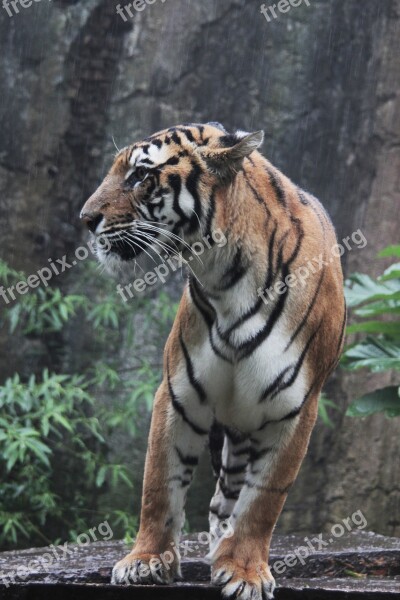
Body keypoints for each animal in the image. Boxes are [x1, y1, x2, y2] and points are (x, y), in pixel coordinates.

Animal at [80, 119, 344, 596]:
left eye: (140, 175)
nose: (86, 220)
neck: (225, 275)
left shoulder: (295, 409)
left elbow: (262, 502)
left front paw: (244, 571)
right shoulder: (178, 394)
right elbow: (158, 487)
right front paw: (145, 561)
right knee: (222, 497)